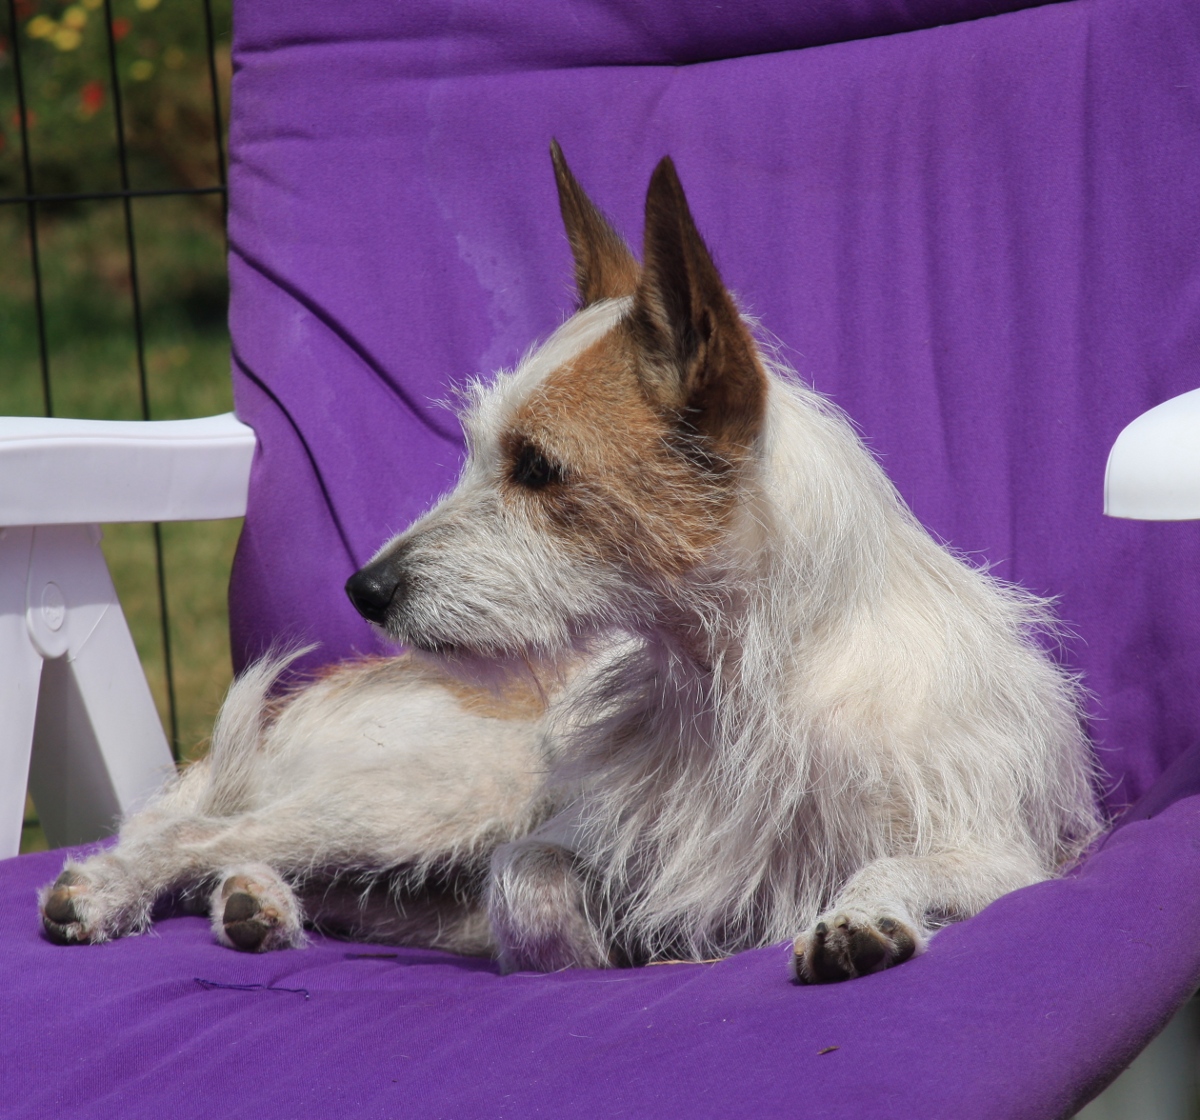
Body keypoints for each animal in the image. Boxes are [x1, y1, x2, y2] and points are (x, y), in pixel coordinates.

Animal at [38, 144, 1102, 983]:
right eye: (476, 450)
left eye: (538, 468)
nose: (364, 588)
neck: (744, 686)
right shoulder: (556, 839)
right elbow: (530, 888)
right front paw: (613, 954)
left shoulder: (1008, 859)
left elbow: (894, 865)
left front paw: (859, 916)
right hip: (427, 797)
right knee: (202, 832)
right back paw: (121, 890)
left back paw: (253, 907)